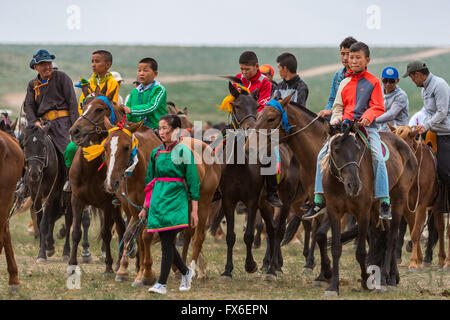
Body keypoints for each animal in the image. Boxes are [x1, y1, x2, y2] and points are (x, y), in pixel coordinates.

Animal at [22, 124, 71, 262]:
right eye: (25, 145)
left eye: (43, 146)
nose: (34, 173)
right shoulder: (35, 196)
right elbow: (40, 221)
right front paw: (43, 247)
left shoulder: (49, 195)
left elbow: (44, 223)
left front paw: (42, 253)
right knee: (52, 217)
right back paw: (50, 245)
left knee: (68, 220)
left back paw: (66, 252)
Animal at [388, 124, 448, 272]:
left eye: (408, 137)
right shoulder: (406, 205)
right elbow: (412, 228)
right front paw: (419, 259)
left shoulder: (421, 204)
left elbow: (415, 232)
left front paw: (414, 262)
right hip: (437, 207)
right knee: (440, 228)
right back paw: (440, 259)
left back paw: (446, 262)